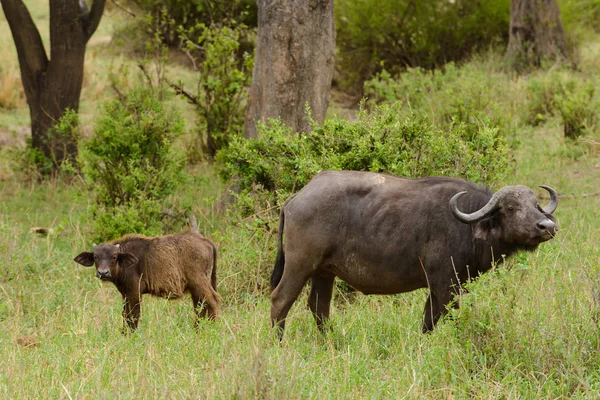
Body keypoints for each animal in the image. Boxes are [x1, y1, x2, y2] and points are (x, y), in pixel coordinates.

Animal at [270, 170, 560, 338]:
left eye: (535, 204)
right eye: (511, 208)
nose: (547, 226)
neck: (466, 225)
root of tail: (296, 198)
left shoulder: (439, 288)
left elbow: (427, 321)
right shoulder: (445, 285)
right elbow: (444, 318)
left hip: (324, 271)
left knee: (319, 306)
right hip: (300, 264)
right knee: (281, 299)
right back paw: (279, 342)